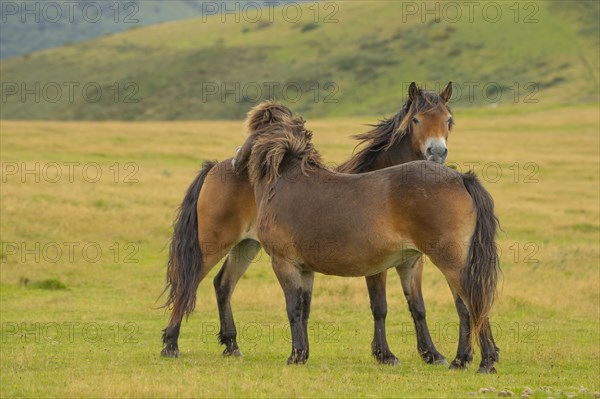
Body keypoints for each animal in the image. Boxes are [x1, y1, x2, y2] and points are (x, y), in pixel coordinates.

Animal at [159, 83, 454, 368]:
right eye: (416, 120)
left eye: (448, 120)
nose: (437, 152)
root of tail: (215, 168)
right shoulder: (376, 266)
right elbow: (379, 307)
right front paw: (385, 354)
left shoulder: (413, 261)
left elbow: (417, 307)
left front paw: (431, 353)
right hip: (213, 244)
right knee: (188, 283)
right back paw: (170, 345)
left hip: (246, 246)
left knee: (223, 285)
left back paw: (232, 345)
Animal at [239, 101, 502, 374]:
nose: (237, 160)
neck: (283, 180)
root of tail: (460, 178)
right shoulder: (305, 269)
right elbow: (304, 308)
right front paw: (304, 354)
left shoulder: (284, 263)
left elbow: (293, 309)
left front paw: (295, 355)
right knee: (466, 306)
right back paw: (461, 360)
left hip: (450, 261)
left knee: (473, 302)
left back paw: (485, 362)